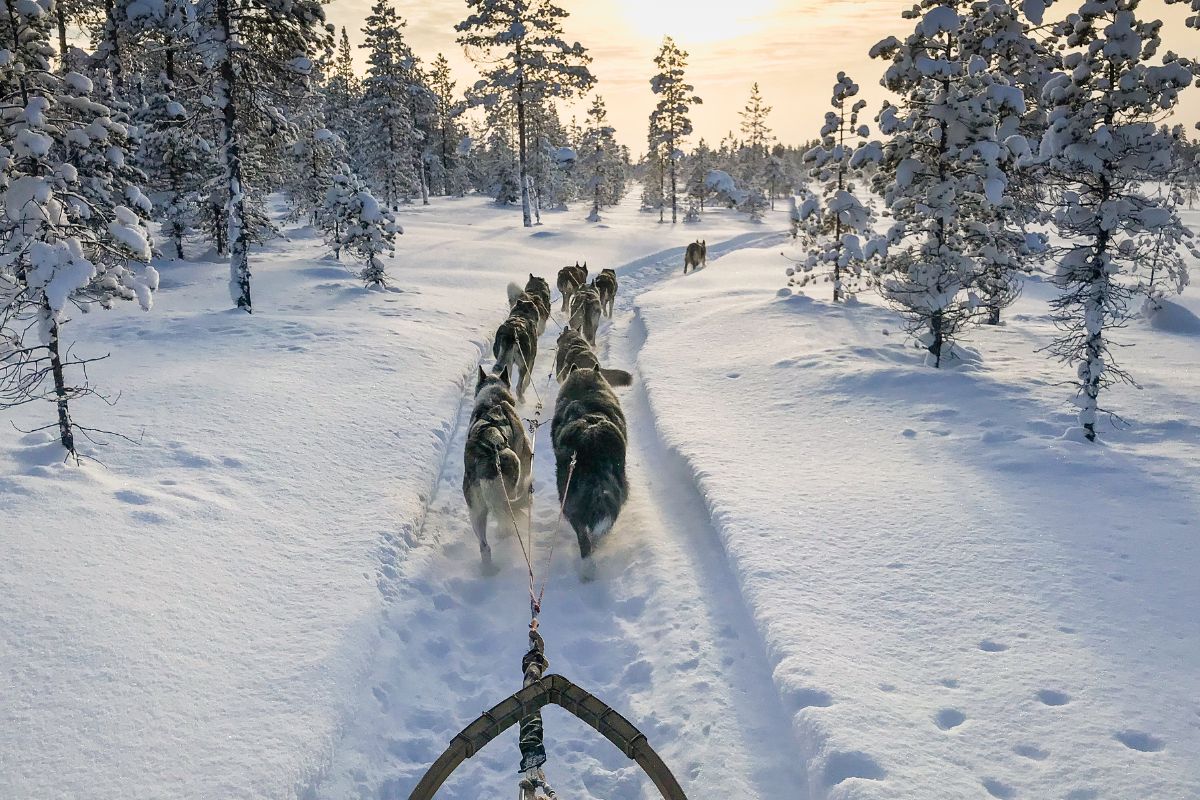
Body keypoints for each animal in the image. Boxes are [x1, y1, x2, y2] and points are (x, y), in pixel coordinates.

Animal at [460, 369, 532, 568]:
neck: (493, 400)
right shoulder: (525, 455)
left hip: (476, 512)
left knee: (484, 546)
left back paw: (488, 569)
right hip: (512, 466)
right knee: (507, 516)